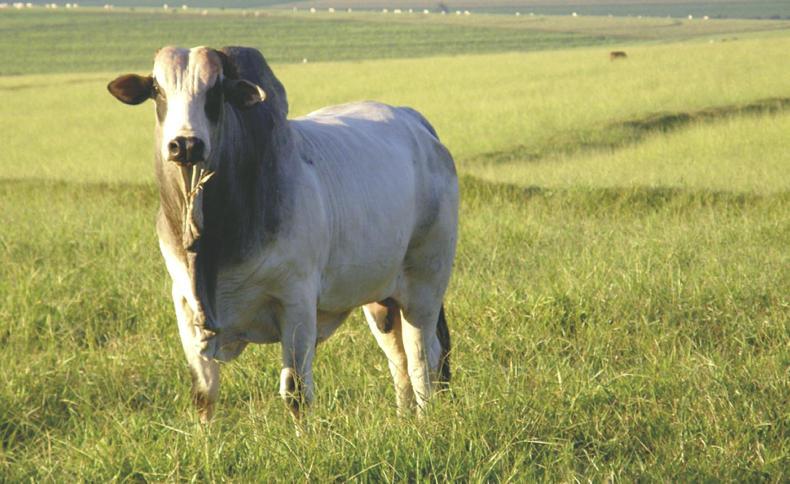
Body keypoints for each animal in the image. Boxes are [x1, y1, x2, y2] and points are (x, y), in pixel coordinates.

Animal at [107, 46, 458, 422]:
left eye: (215, 92)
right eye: (158, 90)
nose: (185, 145)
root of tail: (417, 124)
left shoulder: (296, 303)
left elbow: (296, 393)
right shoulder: (185, 306)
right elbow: (204, 394)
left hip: (424, 288)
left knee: (423, 359)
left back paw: (424, 420)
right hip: (381, 300)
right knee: (399, 360)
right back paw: (404, 418)